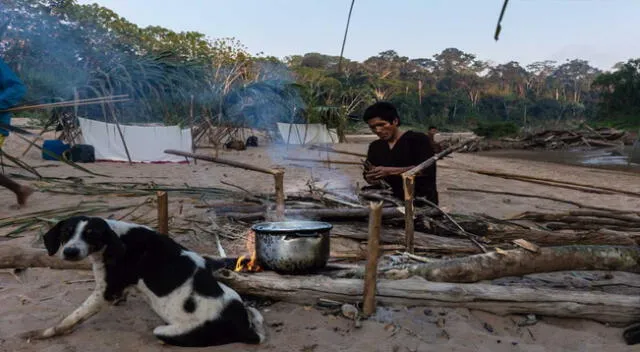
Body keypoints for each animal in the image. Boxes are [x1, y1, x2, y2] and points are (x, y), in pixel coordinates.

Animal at [29, 214, 264, 346]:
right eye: (66, 232)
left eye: (91, 234)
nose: (70, 252)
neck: (117, 237)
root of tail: (243, 328)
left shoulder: (105, 292)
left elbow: (71, 318)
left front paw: (45, 332)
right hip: (231, 292)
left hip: (167, 332)